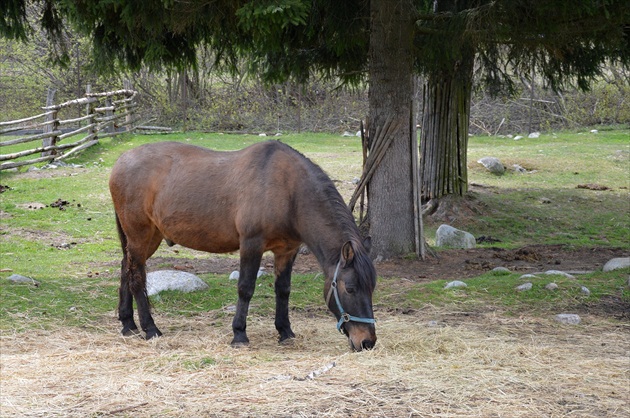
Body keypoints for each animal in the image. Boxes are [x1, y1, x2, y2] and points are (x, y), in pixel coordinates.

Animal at [109, 140, 378, 350]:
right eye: (350, 288)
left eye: (371, 287)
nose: (367, 342)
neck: (288, 190)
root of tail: (120, 161)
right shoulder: (251, 245)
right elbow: (245, 288)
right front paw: (239, 334)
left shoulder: (286, 251)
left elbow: (283, 290)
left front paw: (285, 331)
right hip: (140, 235)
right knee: (136, 277)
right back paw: (150, 328)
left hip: (147, 238)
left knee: (126, 268)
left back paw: (128, 324)